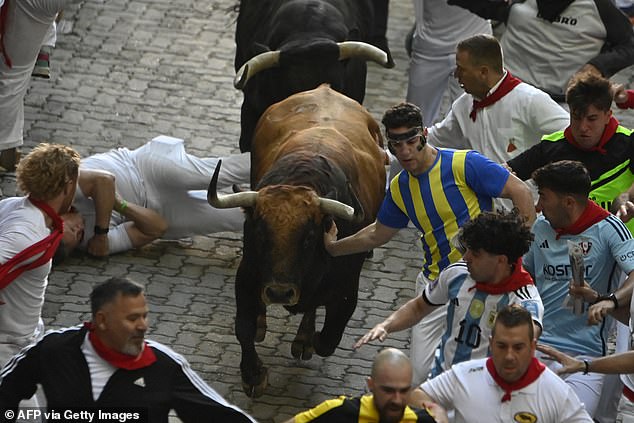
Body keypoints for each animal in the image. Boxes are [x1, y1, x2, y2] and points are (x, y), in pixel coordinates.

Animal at [207, 85, 386, 398]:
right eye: (259, 232)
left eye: (309, 237)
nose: (279, 292)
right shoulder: (248, 275)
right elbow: (243, 327)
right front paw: (253, 375)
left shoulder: (347, 292)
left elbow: (328, 339)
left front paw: (308, 339)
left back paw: (303, 337)